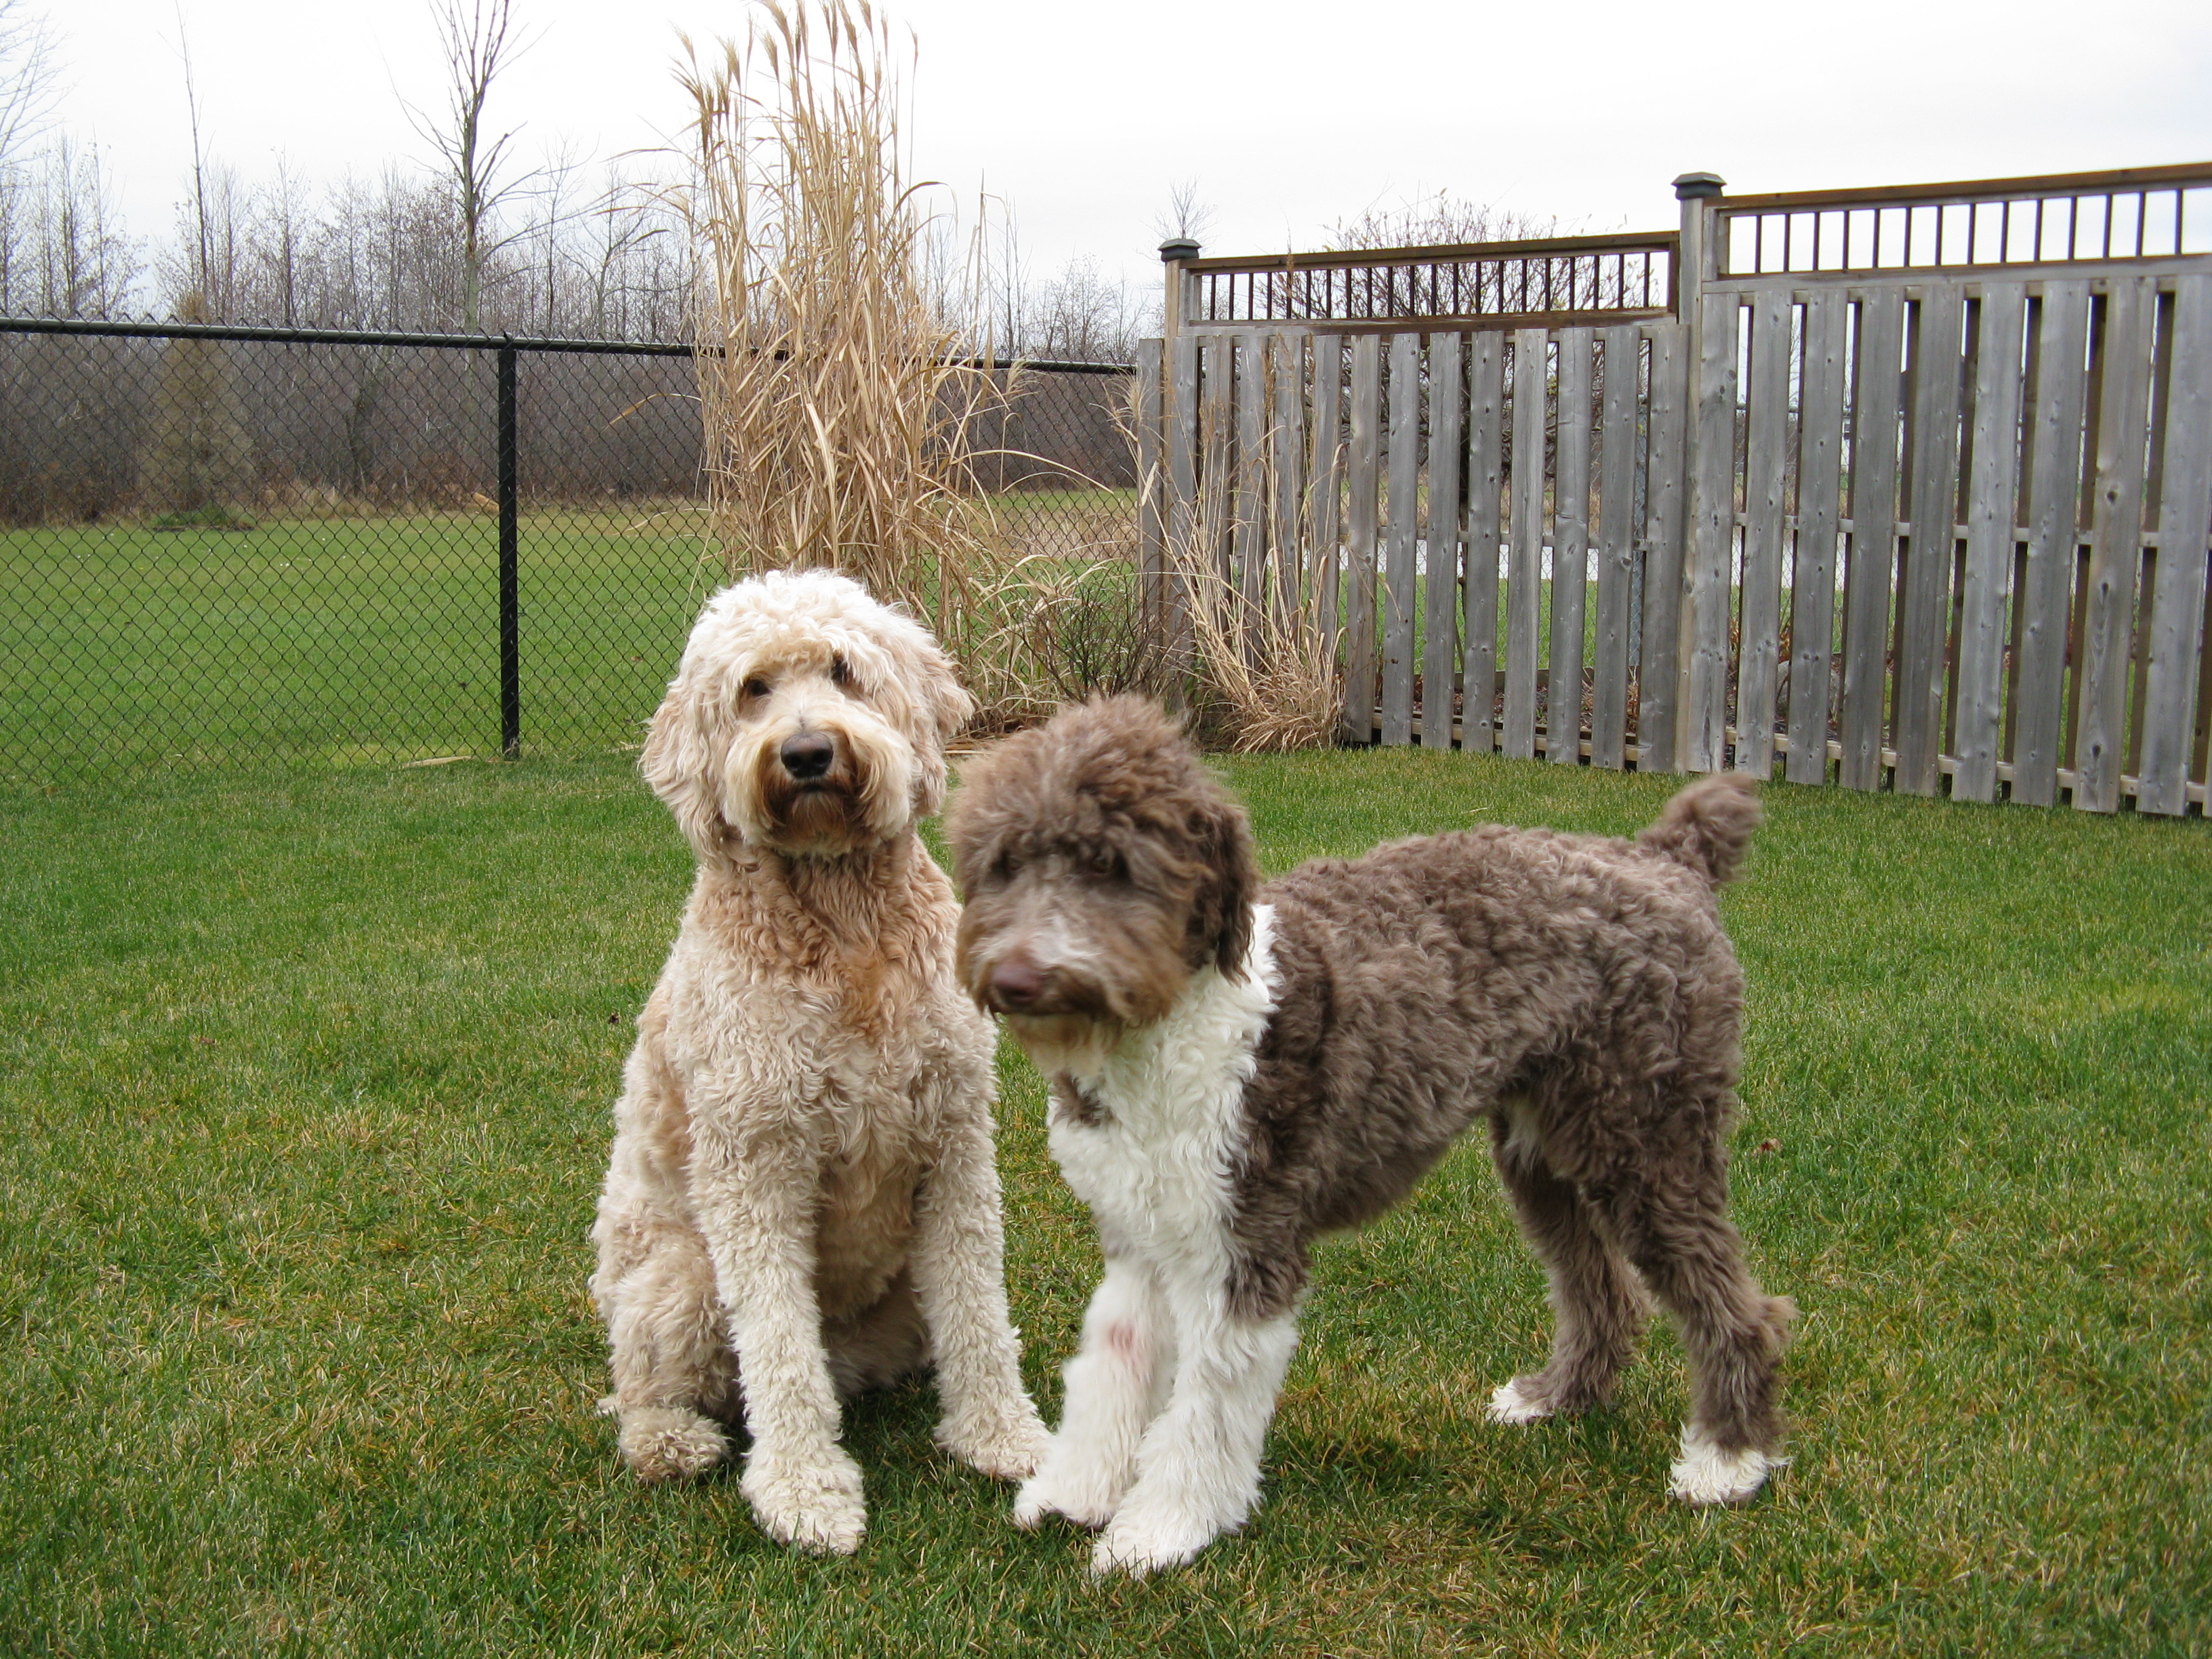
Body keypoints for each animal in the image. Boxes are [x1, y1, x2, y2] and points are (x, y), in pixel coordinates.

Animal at [592, 571, 1048, 1557]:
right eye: (753, 688)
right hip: (678, 1283)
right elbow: (777, 1345)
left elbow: (979, 1311)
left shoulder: (954, 1140)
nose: (806, 754)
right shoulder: (754, 1162)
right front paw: (805, 1489)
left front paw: (1003, 1435)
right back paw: (674, 1441)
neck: (843, 927)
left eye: (843, 670)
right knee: (644, 1388)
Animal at [942, 694, 1787, 1574]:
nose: (1018, 978)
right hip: (1542, 1153)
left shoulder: (1243, 1248)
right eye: (1003, 864)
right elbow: (1111, 1370)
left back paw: (1727, 1460)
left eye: (1112, 865)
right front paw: (1074, 1495)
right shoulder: (1140, 1236)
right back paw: (1557, 1398)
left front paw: (1160, 1531)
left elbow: (1205, 1413)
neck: (1167, 1028)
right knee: (1602, 1289)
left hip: (1650, 1140)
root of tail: (1668, 858)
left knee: (1734, 1301)